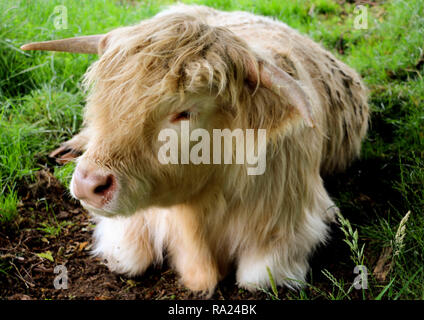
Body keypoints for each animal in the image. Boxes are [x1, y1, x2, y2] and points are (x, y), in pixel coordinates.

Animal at [22, 3, 368, 294]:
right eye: (104, 96)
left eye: (185, 112)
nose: (88, 184)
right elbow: (126, 257)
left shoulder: (289, 224)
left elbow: (256, 279)